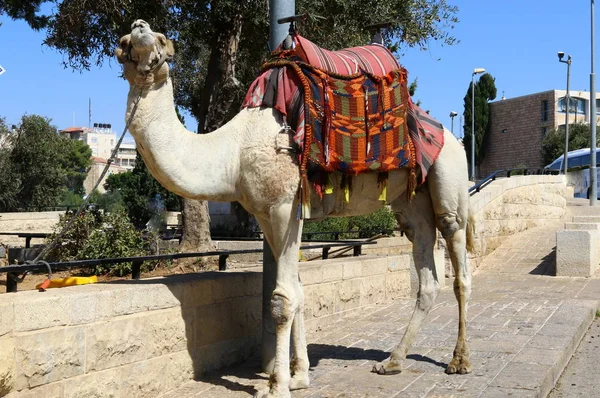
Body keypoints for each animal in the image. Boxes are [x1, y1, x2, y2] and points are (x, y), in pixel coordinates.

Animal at [116, 20, 474, 398]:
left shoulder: (284, 207)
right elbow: (299, 292)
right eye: (127, 42)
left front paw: (276, 385)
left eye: (158, 39)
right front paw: (299, 377)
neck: (231, 153)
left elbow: (282, 298)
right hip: (411, 204)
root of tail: (452, 137)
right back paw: (392, 361)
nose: (138, 27)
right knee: (427, 275)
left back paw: (459, 361)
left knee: (459, 265)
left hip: (449, 183)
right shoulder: (266, 214)